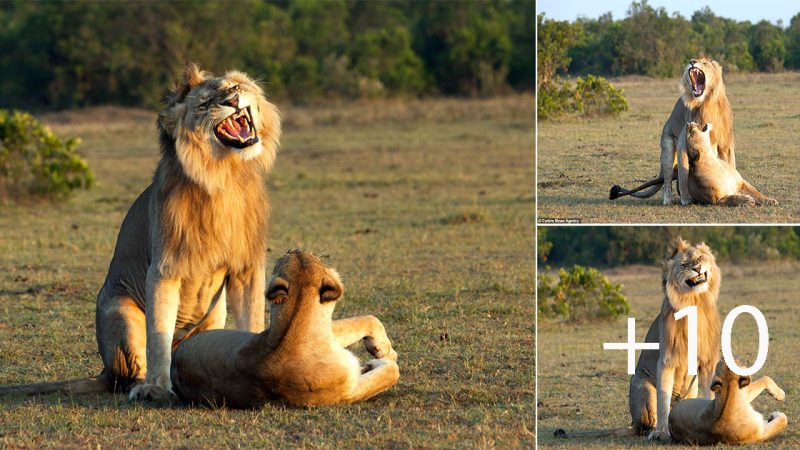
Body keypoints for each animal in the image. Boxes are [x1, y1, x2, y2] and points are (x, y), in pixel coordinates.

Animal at [0, 63, 282, 400]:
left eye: (234, 87)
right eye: (204, 104)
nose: (233, 100)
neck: (222, 176)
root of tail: (105, 370)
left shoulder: (246, 267)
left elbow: (251, 319)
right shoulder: (164, 268)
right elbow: (158, 334)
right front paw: (157, 388)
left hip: (213, 317)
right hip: (120, 311)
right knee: (131, 372)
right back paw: (143, 385)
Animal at [552, 237, 720, 442]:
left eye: (700, 257)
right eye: (684, 264)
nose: (696, 268)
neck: (695, 302)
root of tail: (633, 422)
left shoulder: (708, 362)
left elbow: (711, 393)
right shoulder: (666, 360)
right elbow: (663, 402)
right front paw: (662, 433)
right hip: (643, 384)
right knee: (647, 424)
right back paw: (655, 431)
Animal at [612, 56, 732, 206]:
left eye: (704, 62)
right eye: (695, 59)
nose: (692, 61)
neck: (707, 103)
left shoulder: (726, 144)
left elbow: (730, 164)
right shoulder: (683, 141)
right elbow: (683, 173)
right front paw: (686, 200)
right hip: (668, 148)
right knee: (668, 179)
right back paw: (668, 200)